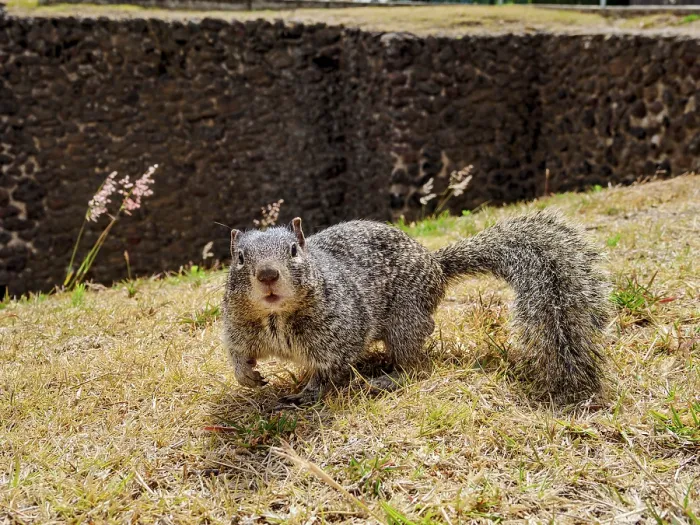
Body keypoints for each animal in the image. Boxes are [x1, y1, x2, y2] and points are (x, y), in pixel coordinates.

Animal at [221, 210, 611, 406]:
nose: (268, 275)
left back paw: (387, 379)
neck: (276, 317)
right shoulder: (238, 326)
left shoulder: (339, 335)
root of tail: (436, 266)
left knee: (415, 364)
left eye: (293, 251)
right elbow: (238, 353)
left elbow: (328, 371)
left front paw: (308, 393)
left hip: (405, 321)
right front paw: (248, 377)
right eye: (239, 258)